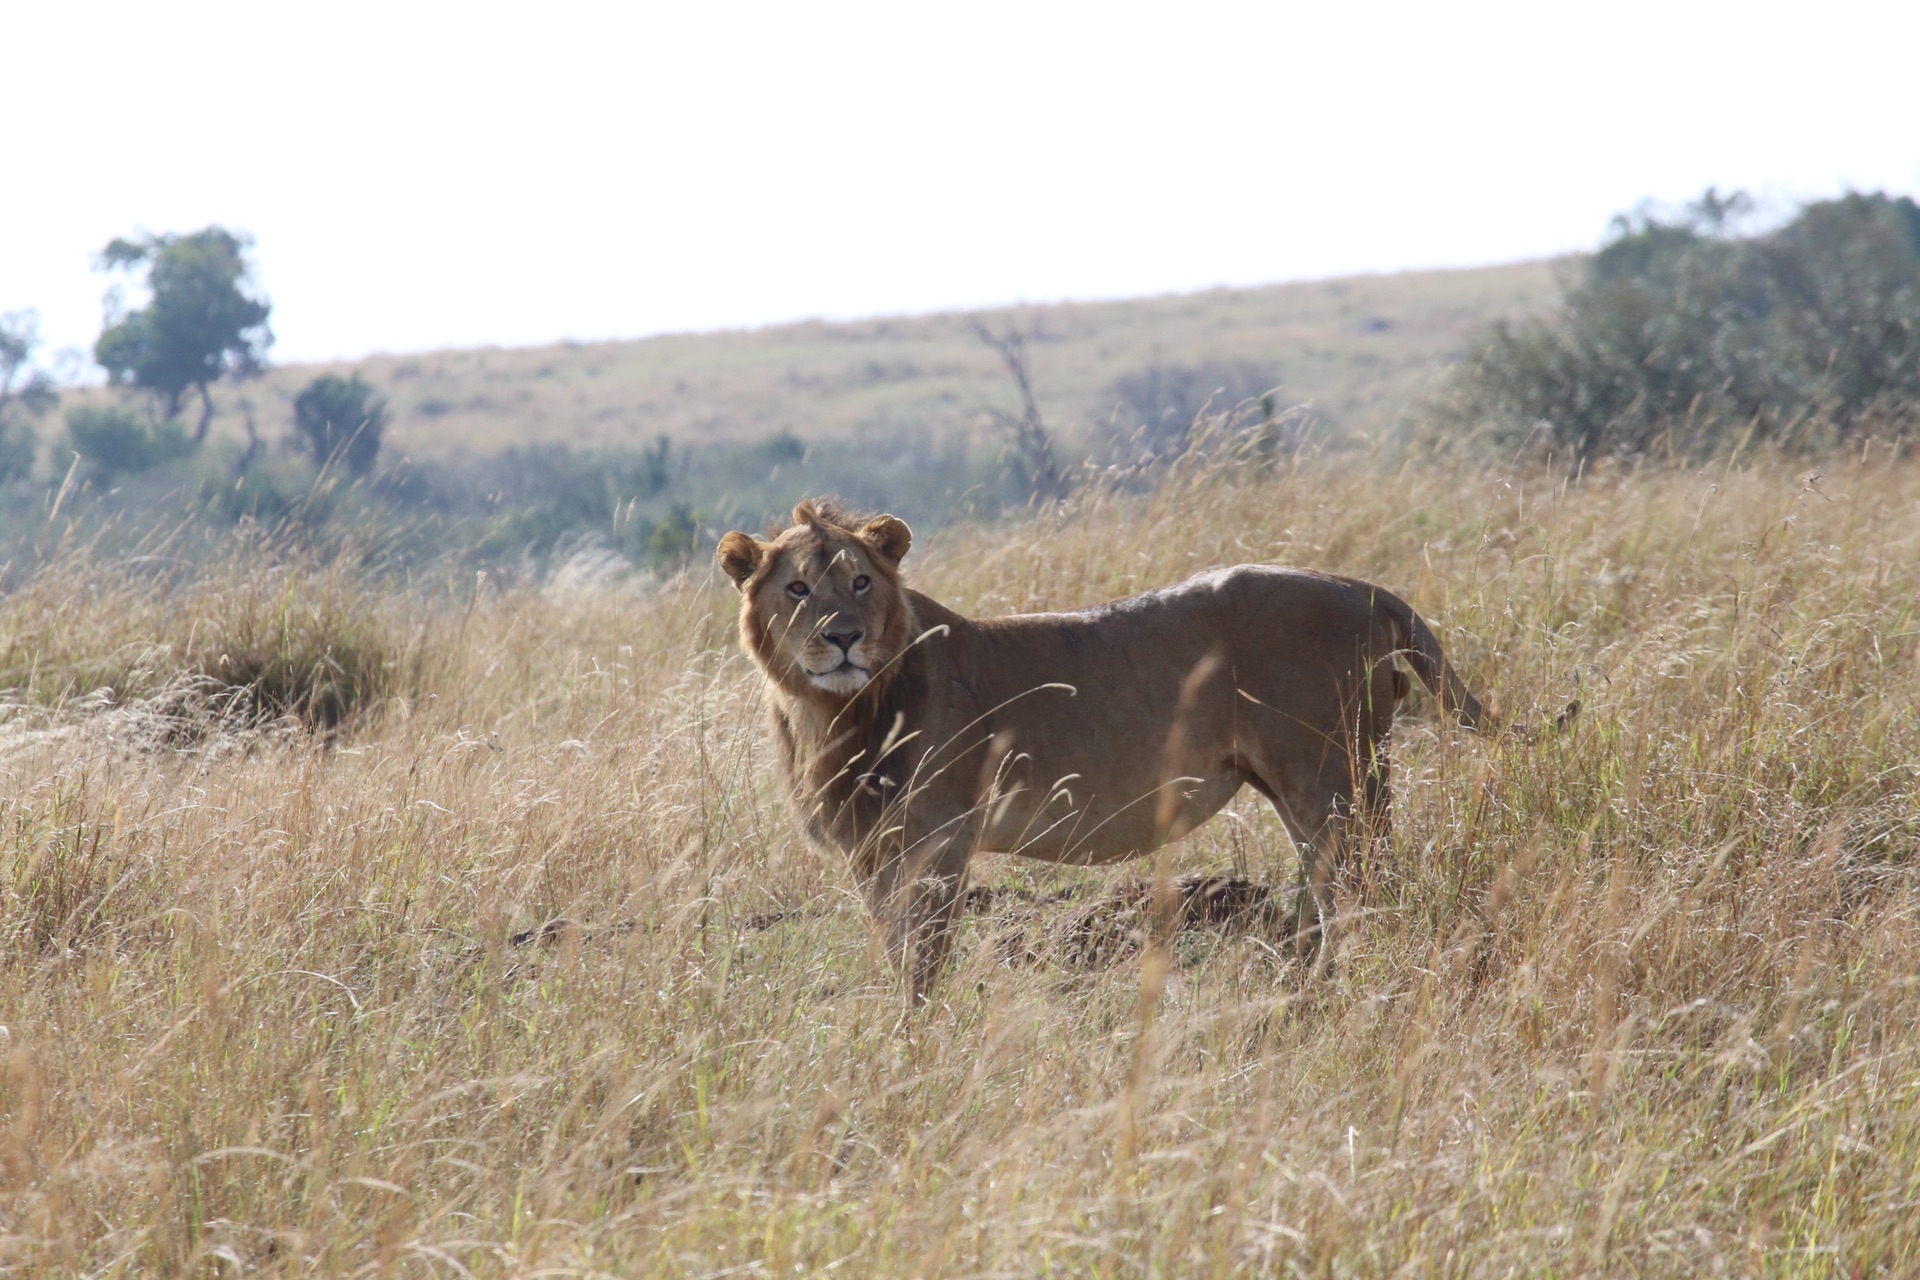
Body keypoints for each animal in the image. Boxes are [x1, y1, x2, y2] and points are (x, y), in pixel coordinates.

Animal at [721, 498, 1543, 1013]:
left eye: (861, 581)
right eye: (797, 589)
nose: (843, 638)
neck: (830, 713)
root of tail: (1365, 588)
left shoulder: (938, 841)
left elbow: (921, 957)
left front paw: (915, 1037)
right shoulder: (872, 850)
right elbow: (894, 946)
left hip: (1333, 776)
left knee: (1368, 889)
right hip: (1303, 786)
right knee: (1327, 889)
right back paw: (1301, 992)